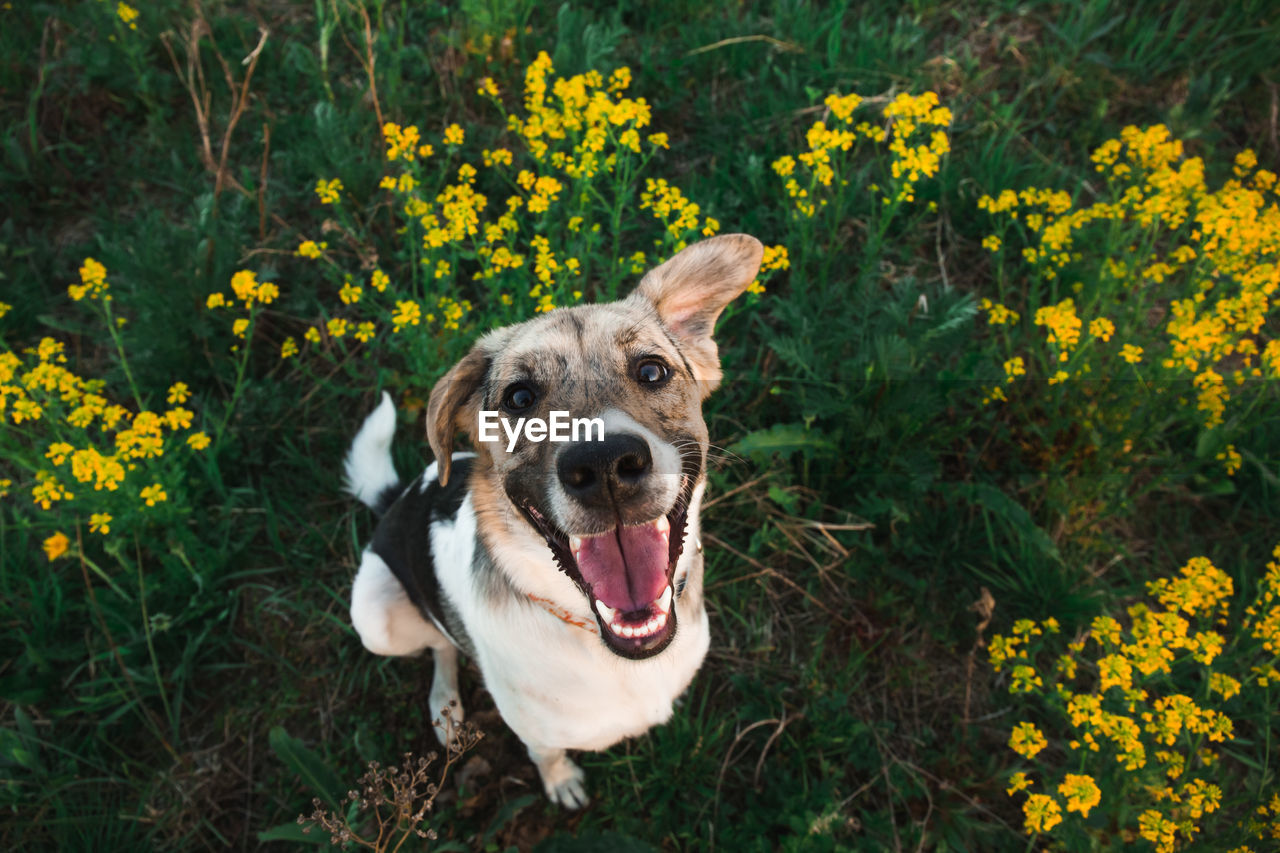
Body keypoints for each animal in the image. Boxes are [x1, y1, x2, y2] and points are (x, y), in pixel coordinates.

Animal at [343, 233, 757, 804]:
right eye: (519, 397)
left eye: (652, 370)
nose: (604, 465)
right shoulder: (533, 730)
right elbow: (546, 754)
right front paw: (561, 783)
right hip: (375, 619)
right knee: (439, 643)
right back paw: (447, 706)